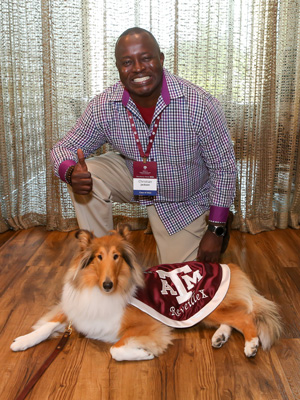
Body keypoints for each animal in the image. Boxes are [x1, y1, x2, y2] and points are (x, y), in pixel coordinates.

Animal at [10, 227, 282, 360]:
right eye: (98, 257)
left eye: (116, 256)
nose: (107, 285)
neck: (99, 292)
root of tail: (229, 266)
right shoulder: (77, 311)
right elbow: (48, 325)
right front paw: (22, 341)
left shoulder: (146, 327)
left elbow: (116, 350)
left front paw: (144, 354)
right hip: (208, 311)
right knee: (233, 319)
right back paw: (220, 337)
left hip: (207, 306)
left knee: (246, 318)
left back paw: (251, 346)